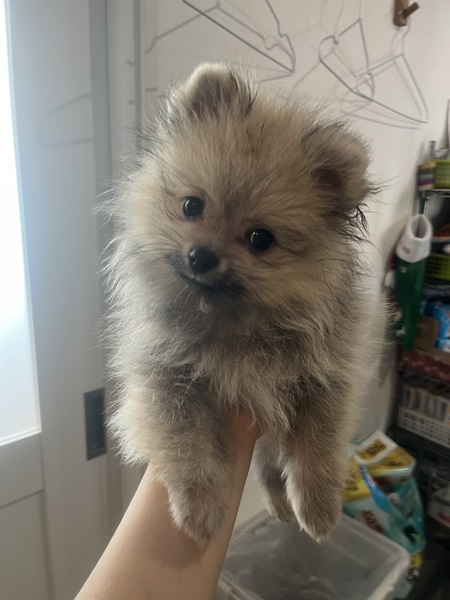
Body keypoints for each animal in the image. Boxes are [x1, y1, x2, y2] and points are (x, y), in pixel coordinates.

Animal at [103, 63, 381, 545]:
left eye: (260, 239)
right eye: (191, 205)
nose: (201, 255)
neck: (233, 318)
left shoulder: (325, 380)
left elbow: (319, 449)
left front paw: (318, 506)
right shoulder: (166, 377)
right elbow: (186, 444)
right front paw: (199, 507)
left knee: (271, 464)